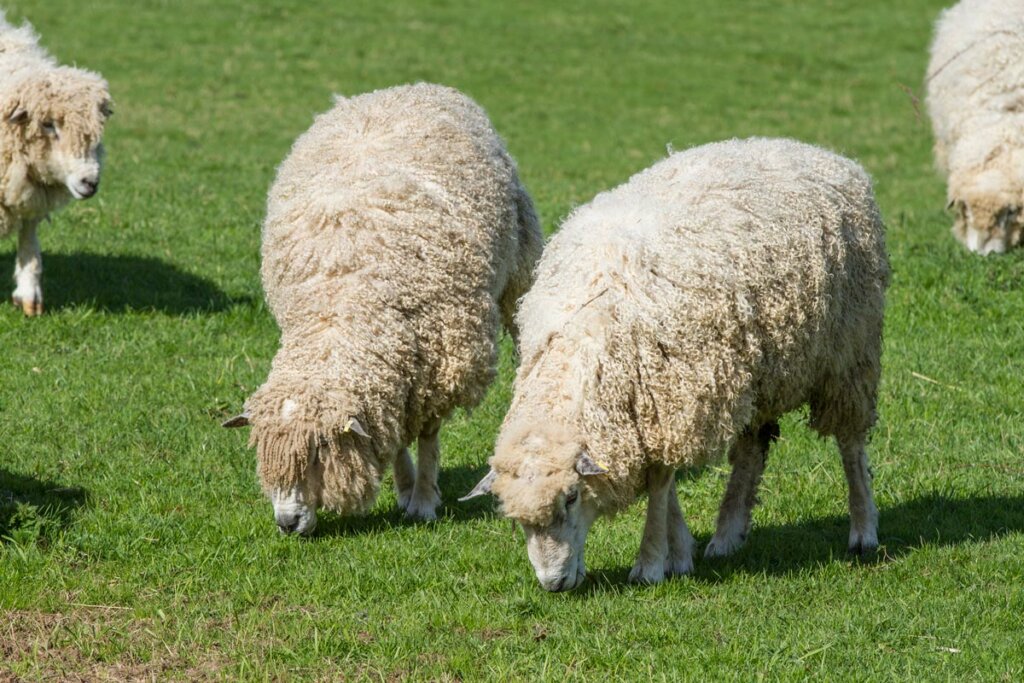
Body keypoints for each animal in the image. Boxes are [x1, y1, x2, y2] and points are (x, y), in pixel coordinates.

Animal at [0, 10, 112, 315]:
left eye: (96, 132)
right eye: (48, 125)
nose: (90, 182)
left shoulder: (28, 193)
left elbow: (30, 246)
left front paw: (29, 296)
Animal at [224, 82, 544, 536]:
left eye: (318, 454)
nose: (287, 522)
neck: (339, 310)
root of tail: (410, 88)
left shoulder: (440, 362)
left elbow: (427, 435)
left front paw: (424, 499)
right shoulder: (394, 373)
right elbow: (392, 434)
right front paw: (405, 488)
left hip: (520, 261)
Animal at [464, 136, 888, 589]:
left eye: (572, 497)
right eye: (518, 520)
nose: (552, 583)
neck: (585, 340)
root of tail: (818, 152)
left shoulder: (671, 400)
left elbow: (660, 482)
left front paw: (651, 562)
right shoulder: (655, 406)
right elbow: (665, 485)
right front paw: (680, 551)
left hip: (850, 353)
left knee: (850, 442)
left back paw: (863, 529)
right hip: (761, 372)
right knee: (752, 448)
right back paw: (727, 534)